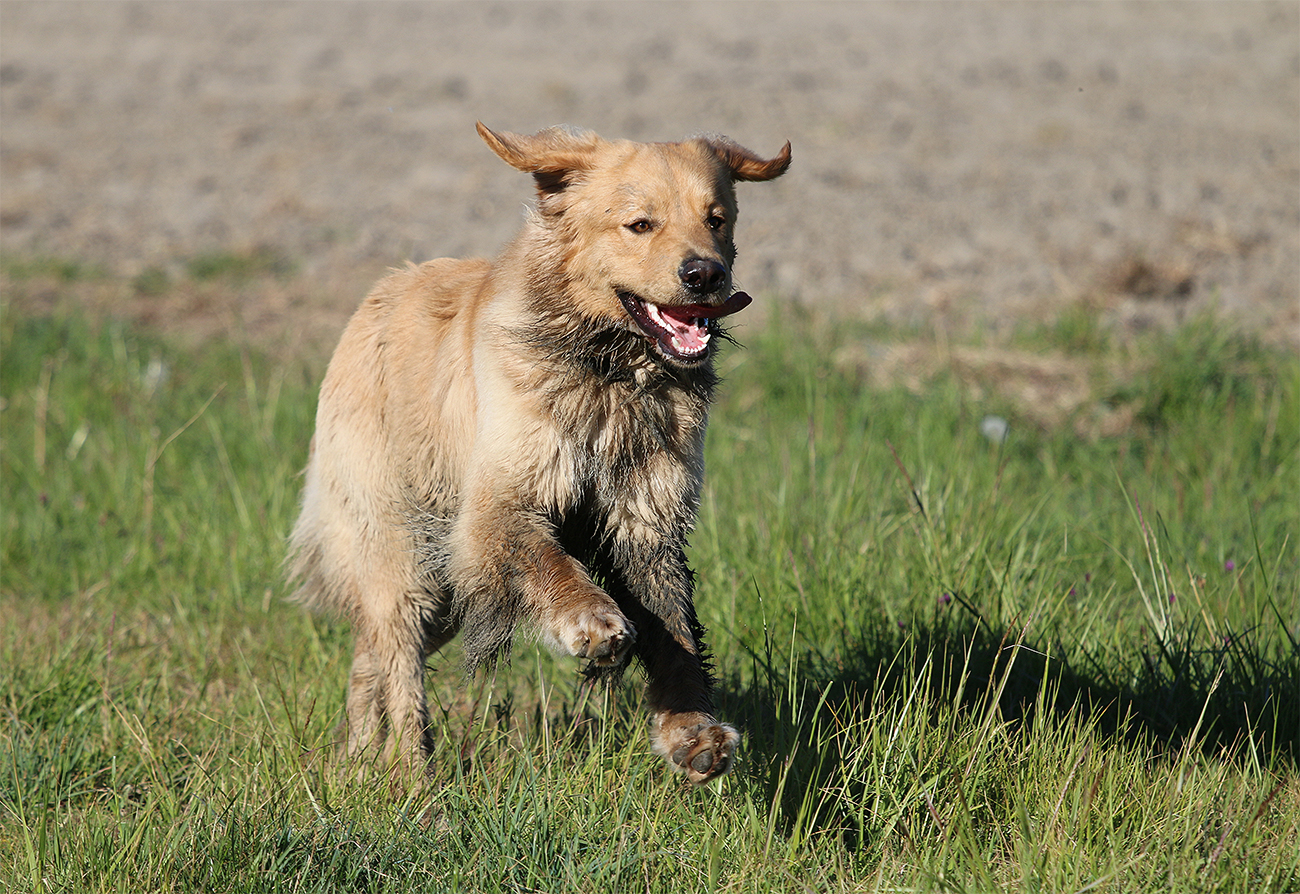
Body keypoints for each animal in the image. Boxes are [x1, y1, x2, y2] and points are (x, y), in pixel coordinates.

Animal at [288, 122, 790, 784]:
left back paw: (362, 758)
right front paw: (593, 622)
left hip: (446, 593)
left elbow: (673, 629)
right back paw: (411, 772)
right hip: (405, 551)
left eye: (717, 219)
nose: (704, 275)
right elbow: (549, 561)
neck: (610, 372)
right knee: (397, 658)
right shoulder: (498, 503)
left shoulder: (648, 515)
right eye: (640, 224)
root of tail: (372, 301)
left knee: (370, 652)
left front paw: (693, 733)